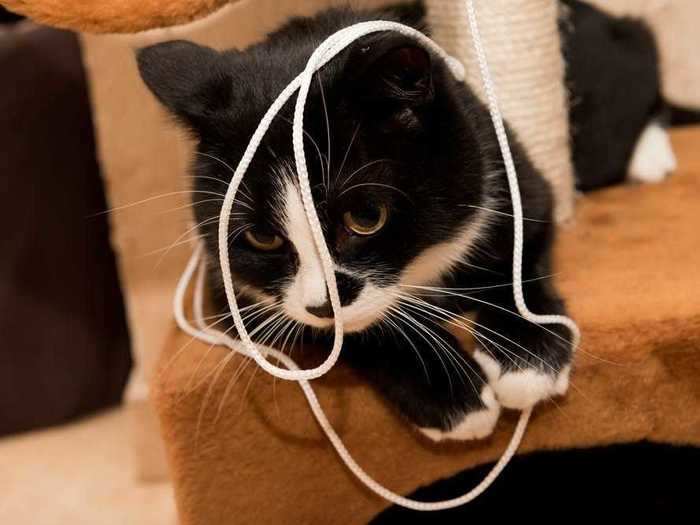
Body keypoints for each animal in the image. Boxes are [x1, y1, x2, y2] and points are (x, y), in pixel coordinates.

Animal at [135, 2, 696, 440]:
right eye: (262, 236)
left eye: (366, 217)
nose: (323, 304)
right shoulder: (228, 286)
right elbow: (347, 333)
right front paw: (451, 395)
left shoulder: (511, 174)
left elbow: (523, 255)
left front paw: (528, 358)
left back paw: (651, 155)